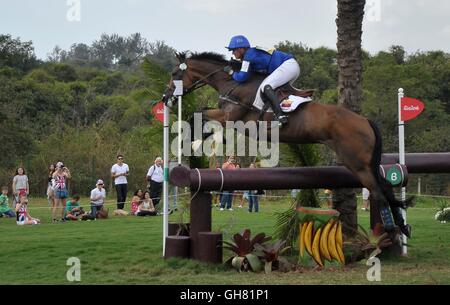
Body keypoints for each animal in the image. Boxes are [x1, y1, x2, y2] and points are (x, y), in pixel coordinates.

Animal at [162, 51, 412, 238]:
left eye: (174, 73)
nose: (166, 99)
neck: (232, 82)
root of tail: (365, 121)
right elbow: (202, 117)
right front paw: (194, 143)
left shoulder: (233, 117)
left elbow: (200, 116)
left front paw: (191, 143)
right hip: (367, 164)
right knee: (385, 186)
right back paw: (402, 227)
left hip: (357, 163)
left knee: (378, 191)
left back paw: (391, 229)